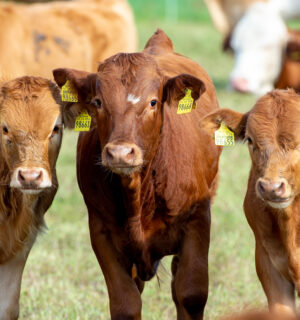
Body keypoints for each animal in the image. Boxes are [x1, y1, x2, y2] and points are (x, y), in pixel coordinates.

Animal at [53, 29, 223, 318]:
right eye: (98, 102)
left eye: (153, 102)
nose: (120, 153)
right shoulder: (101, 231)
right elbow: (126, 303)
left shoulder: (198, 220)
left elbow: (190, 293)